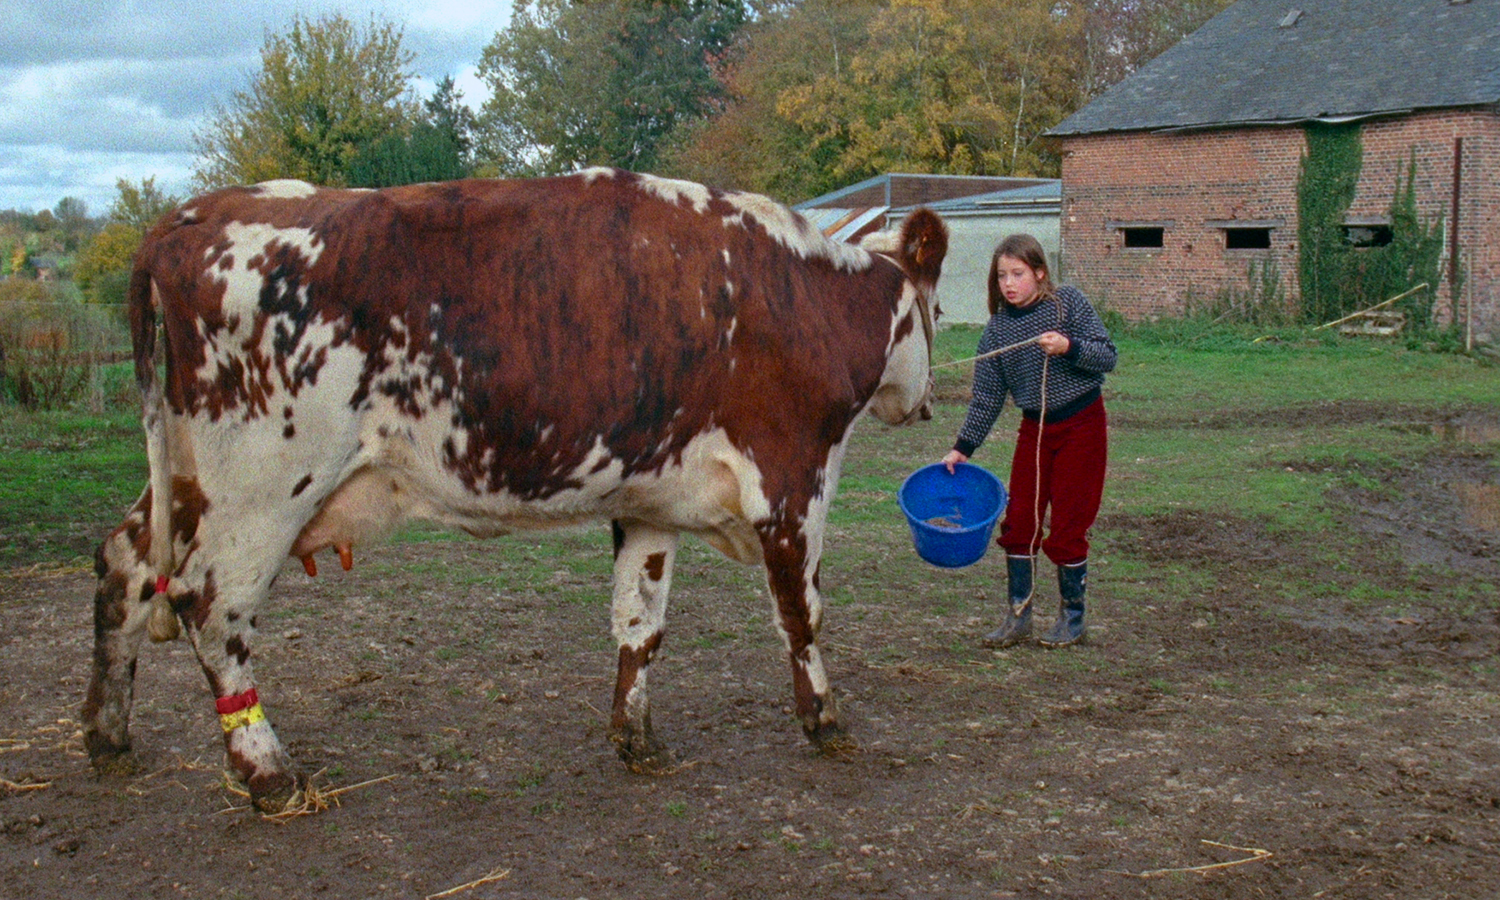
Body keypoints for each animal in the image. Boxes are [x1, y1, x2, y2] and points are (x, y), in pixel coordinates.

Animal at [82, 167, 942, 810]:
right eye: (934, 304)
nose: (926, 403)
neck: (805, 299)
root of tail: (194, 214)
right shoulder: (792, 484)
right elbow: (802, 614)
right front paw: (825, 720)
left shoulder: (649, 502)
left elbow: (640, 623)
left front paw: (637, 738)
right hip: (260, 487)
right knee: (210, 605)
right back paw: (267, 773)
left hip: (189, 478)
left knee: (126, 564)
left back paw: (106, 734)